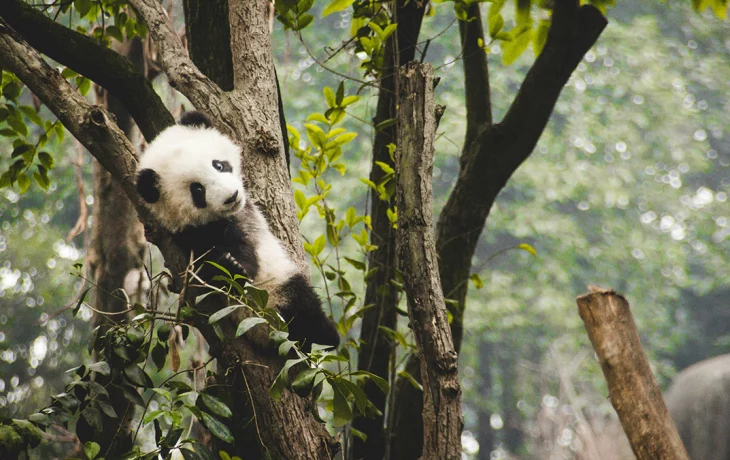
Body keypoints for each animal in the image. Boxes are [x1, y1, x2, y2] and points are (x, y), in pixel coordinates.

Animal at [135, 110, 340, 348]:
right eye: (197, 190)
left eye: (218, 165)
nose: (231, 197)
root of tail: (266, 331)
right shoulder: (188, 234)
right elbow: (217, 263)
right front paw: (228, 264)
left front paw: (231, 263)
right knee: (304, 304)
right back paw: (326, 334)